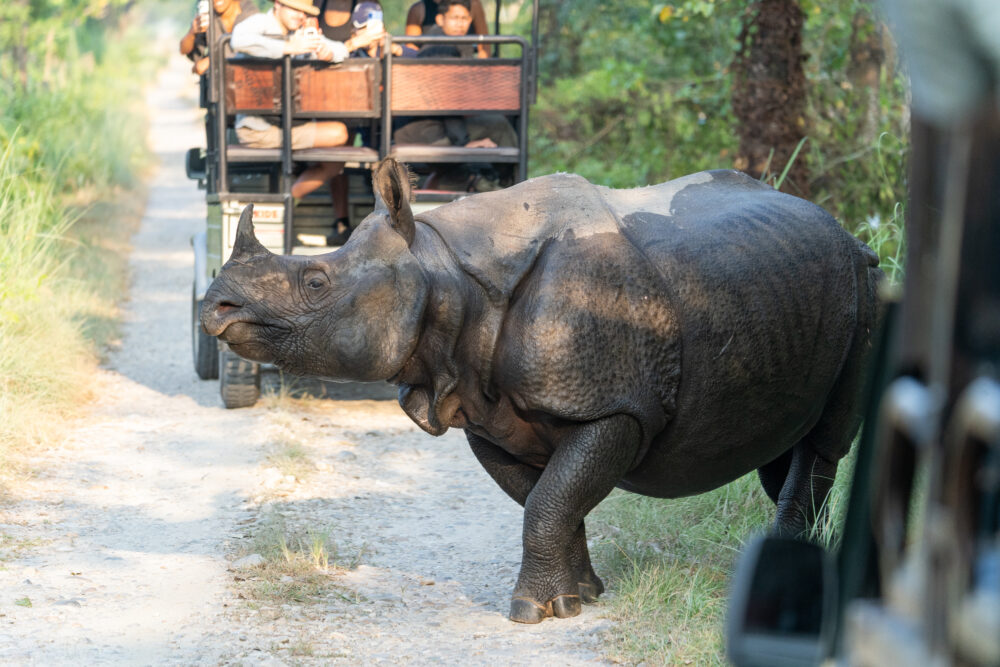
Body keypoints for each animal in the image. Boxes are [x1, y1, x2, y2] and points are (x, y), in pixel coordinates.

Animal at [201, 158, 882, 623]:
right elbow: (549, 500)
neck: (444, 269)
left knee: (823, 443)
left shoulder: (616, 408)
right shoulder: (484, 410)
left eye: (315, 281)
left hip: (862, 283)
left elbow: (550, 499)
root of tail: (849, 233)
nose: (215, 307)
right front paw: (577, 599)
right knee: (786, 446)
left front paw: (533, 612)